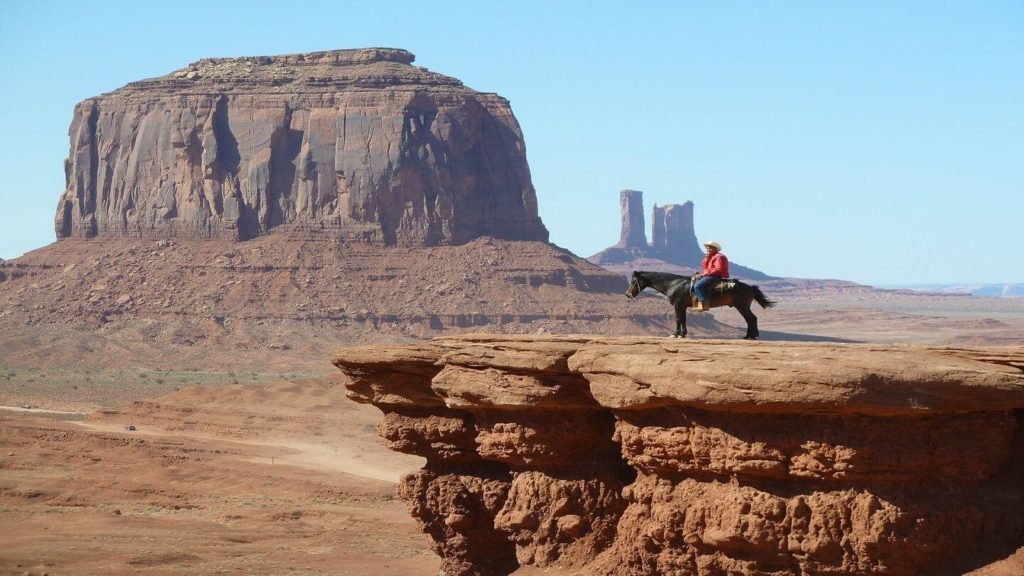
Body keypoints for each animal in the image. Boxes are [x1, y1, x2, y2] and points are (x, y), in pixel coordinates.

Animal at [625, 270, 776, 339]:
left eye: (633, 282)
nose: (627, 294)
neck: (674, 284)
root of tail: (751, 287)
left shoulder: (678, 305)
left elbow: (678, 319)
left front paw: (675, 334)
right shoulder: (683, 306)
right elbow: (683, 319)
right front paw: (683, 334)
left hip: (742, 305)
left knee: (751, 318)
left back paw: (751, 336)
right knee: (750, 319)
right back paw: (748, 336)